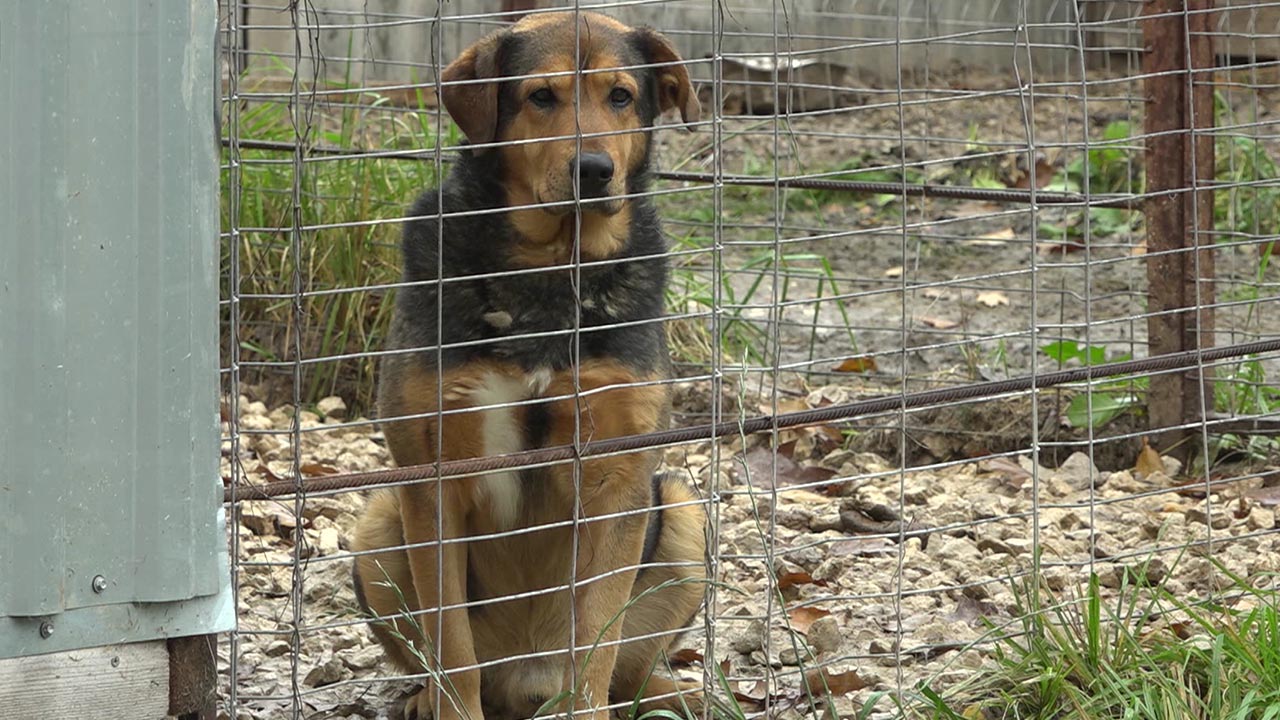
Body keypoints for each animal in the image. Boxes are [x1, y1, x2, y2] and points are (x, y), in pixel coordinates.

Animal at [350, 9, 706, 717]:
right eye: (541, 96)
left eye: (620, 96)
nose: (593, 169)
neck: (549, 273)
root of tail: (524, 683)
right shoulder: (432, 477)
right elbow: (451, 643)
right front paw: (452, 710)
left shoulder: (617, 474)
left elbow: (596, 638)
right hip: (377, 526)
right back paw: (422, 700)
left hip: (683, 514)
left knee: (627, 669)